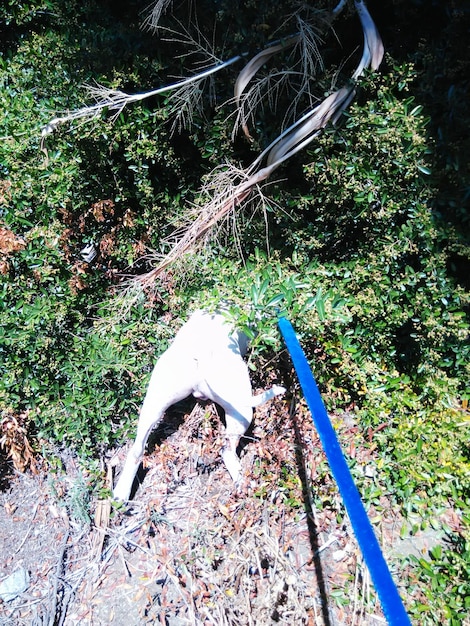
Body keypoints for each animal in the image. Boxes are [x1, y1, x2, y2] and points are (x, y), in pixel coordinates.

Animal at [113, 310, 286, 500]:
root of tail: (201, 364)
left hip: (156, 403)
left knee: (136, 450)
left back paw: (121, 493)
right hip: (243, 409)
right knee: (227, 451)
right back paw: (248, 485)